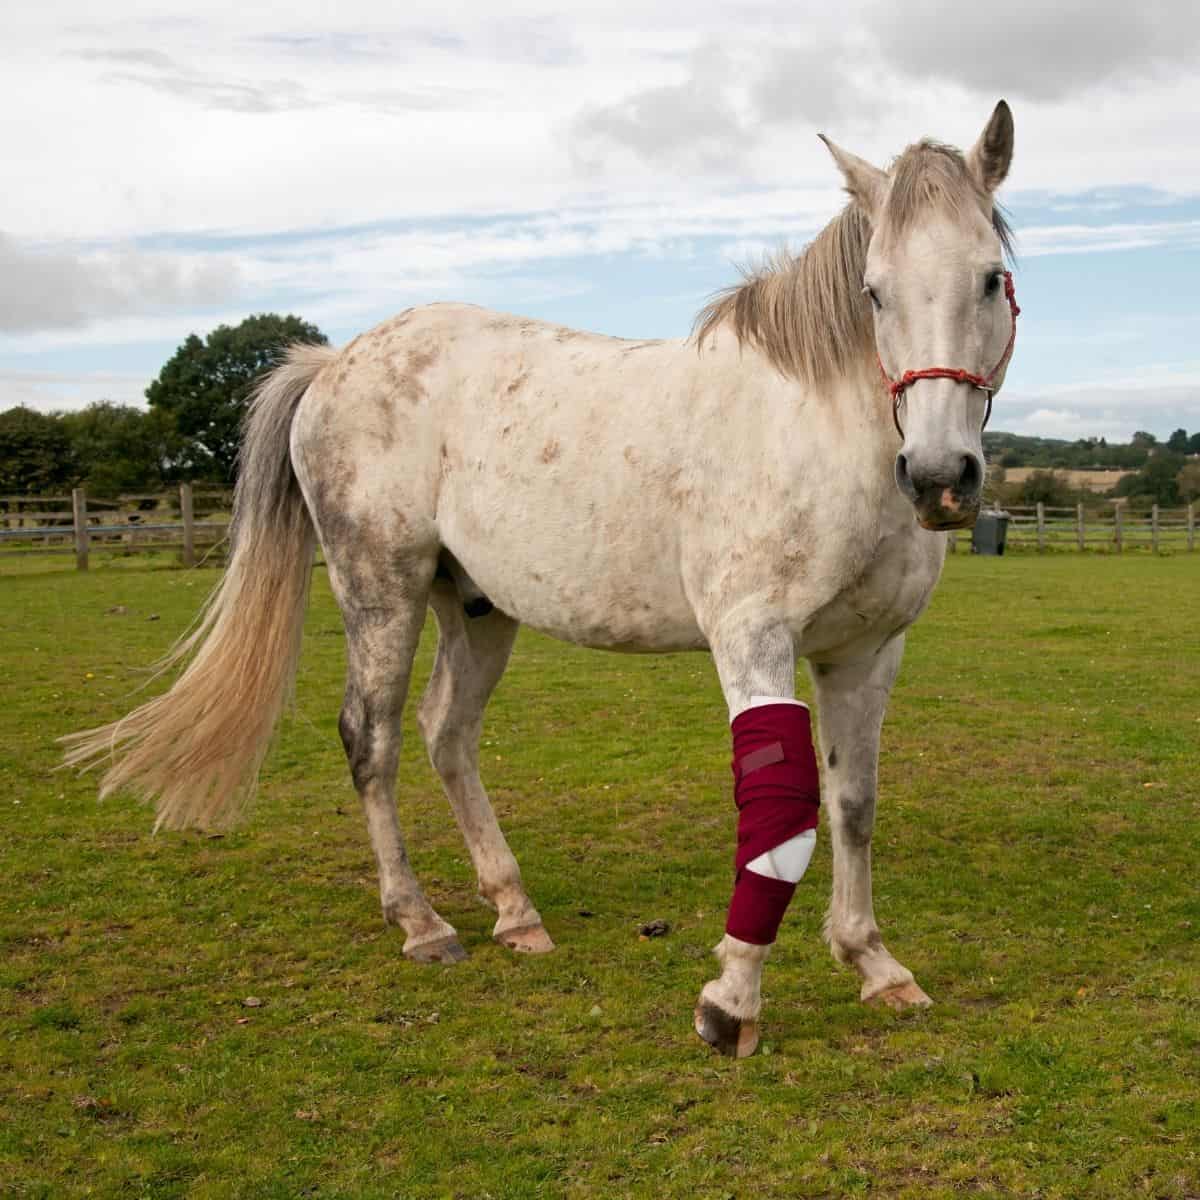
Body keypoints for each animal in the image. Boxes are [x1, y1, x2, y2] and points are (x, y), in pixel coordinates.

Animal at [65, 103, 1017, 1060]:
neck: (815, 429)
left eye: (990, 279)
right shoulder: (753, 638)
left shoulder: (866, 652)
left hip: (476, 610)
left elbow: (851, 801)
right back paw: (420, 922)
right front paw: (731, 1003)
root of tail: (333, 363)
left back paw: (514, 910)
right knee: (371, 739)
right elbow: (779, 814)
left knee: (446, 734)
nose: (939, 476)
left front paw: (874, 964)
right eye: (874, 292)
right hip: (380, 592)